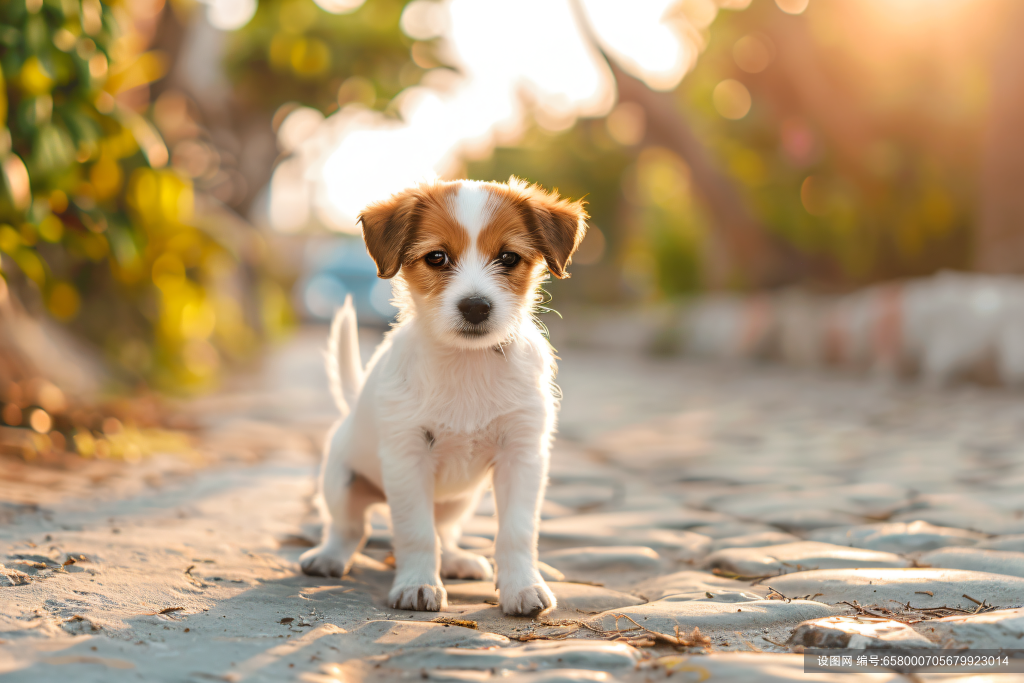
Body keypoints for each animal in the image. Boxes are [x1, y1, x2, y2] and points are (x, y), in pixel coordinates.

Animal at [299, 176, 589, 614]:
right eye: (437, 257)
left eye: (508, 257)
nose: (475, 307)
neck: (467, 363)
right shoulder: (408, 458)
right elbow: (416, 532)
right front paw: (418, 583)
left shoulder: (522, 456)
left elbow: (517, 532)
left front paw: (522, 585)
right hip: (342, 483)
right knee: (350, 529)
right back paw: (329, 557)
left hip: (459, 501)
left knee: (445, 531)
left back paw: (456, 561)